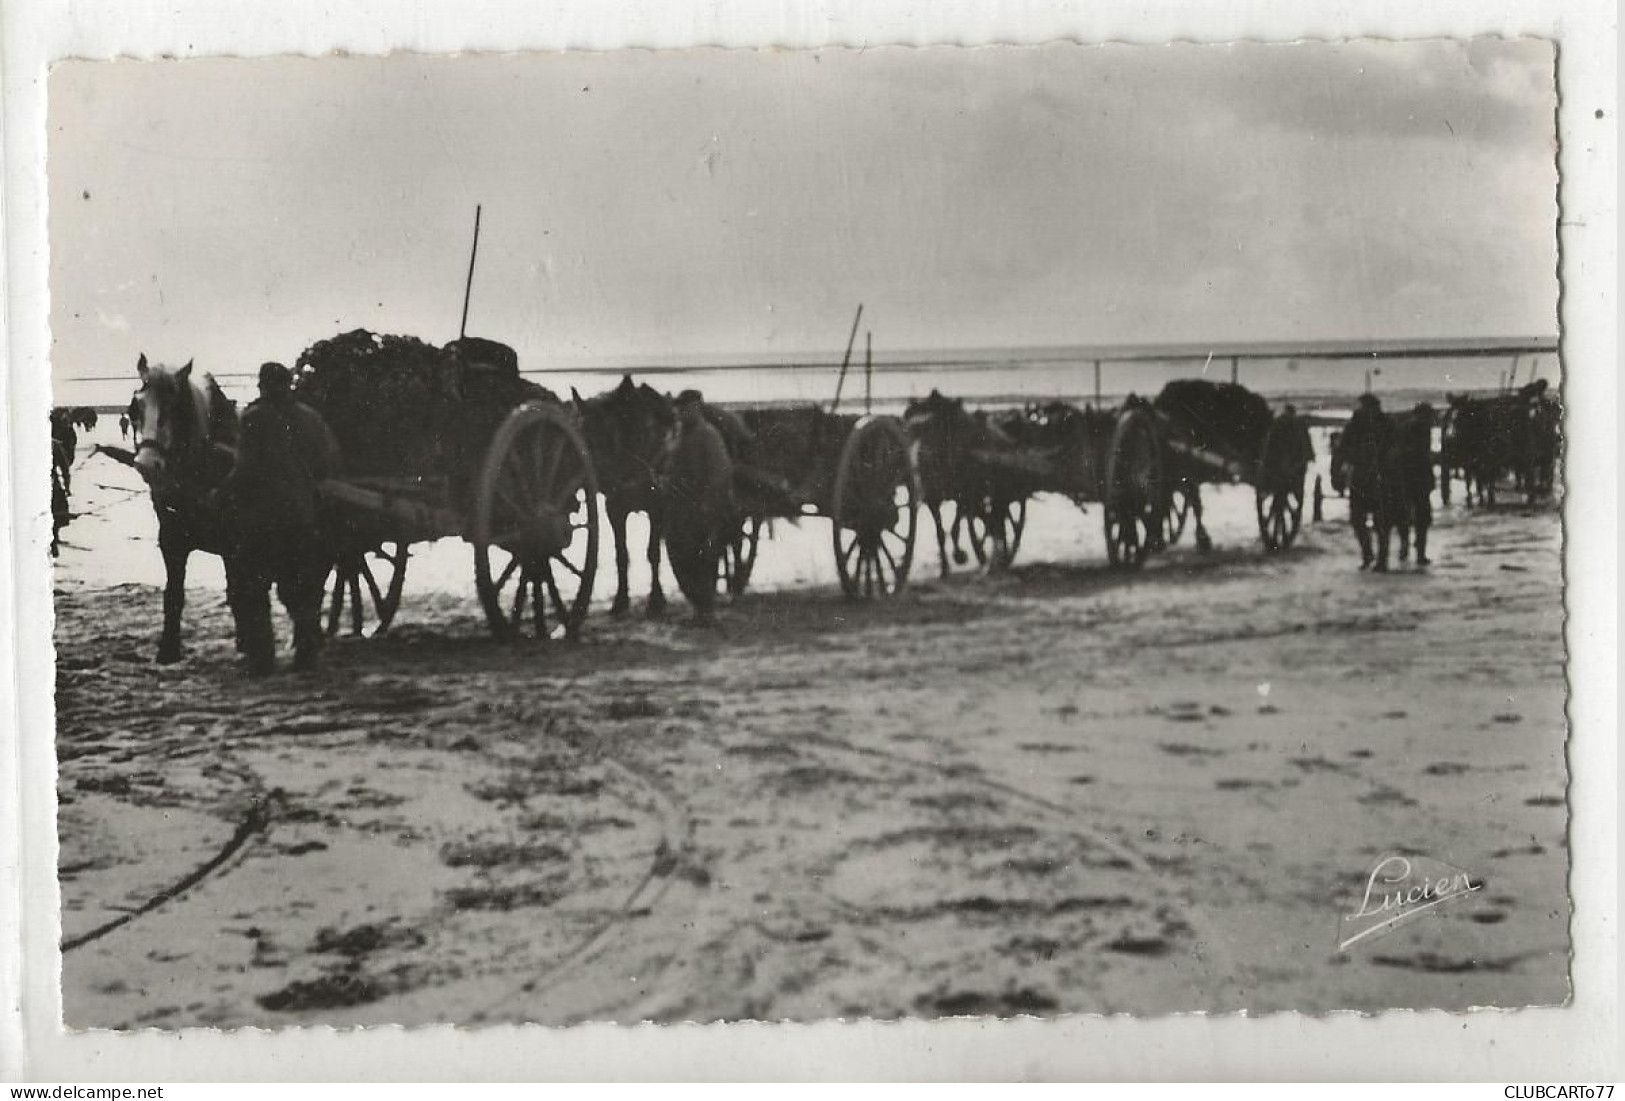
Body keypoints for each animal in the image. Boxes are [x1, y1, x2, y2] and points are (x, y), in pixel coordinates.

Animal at [125, 357, 240, 659]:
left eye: (174, 407)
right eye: (136, 405)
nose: (147, 464)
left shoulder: (233, 544)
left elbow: (239, 590)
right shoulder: (171, 540)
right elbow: (173, 594)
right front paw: (168, 649)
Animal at [575, 376, 676, 620]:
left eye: (604, 434)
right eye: (579, 433)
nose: (591, 479)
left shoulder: (657, 508)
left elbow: (653, 552)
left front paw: (656, 600)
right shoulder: (615, 509)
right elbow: (621, 553)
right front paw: (620, 600)